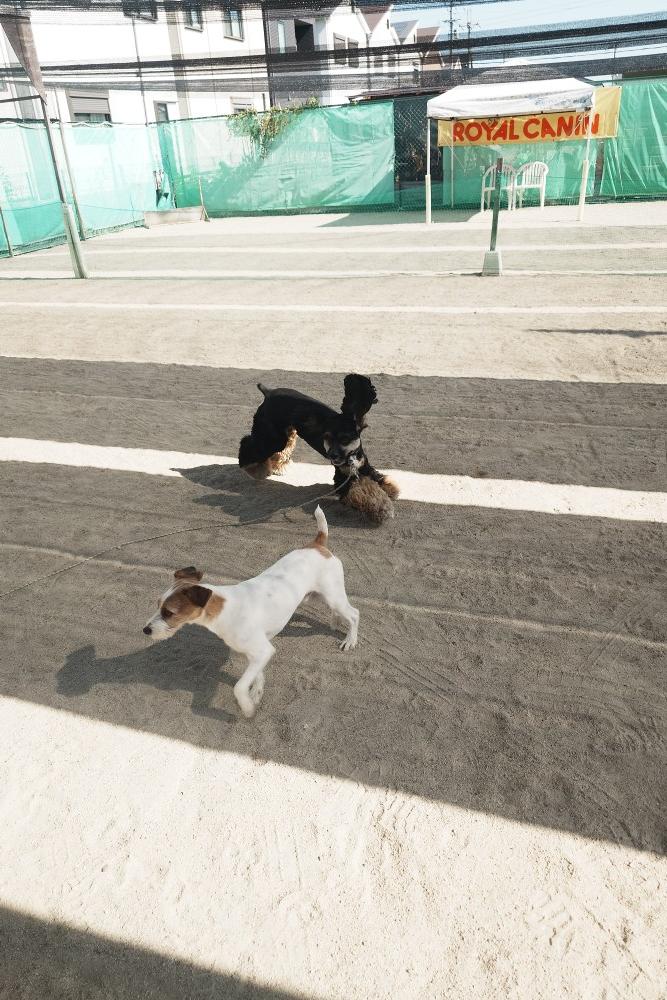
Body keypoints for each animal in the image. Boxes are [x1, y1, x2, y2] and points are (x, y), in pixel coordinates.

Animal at [142, 506, 358, 719]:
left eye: (169, 612)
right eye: (157, 605)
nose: (145, 630)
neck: (225, 609)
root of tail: (316, 544)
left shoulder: (262, 651)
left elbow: (238, 687)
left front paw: (247, 707)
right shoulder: (257, 652)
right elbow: (257, 675)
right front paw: (256, 692)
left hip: (332, 596)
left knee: (354, 614)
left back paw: (350, 640)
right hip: (319, 596)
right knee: (339, 611)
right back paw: (335, 623)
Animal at [238, 374, 399, 523]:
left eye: (344, 439)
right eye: (327, 437)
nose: (332, 455)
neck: (350, 457)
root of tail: (269, 392)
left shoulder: (364, 466)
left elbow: (379, 479)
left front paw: (391, 489)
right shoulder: (342, 479)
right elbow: (363, 494)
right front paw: (382, 508)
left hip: (285, 431)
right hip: (274, 438)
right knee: (248, 444)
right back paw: (255, 469)